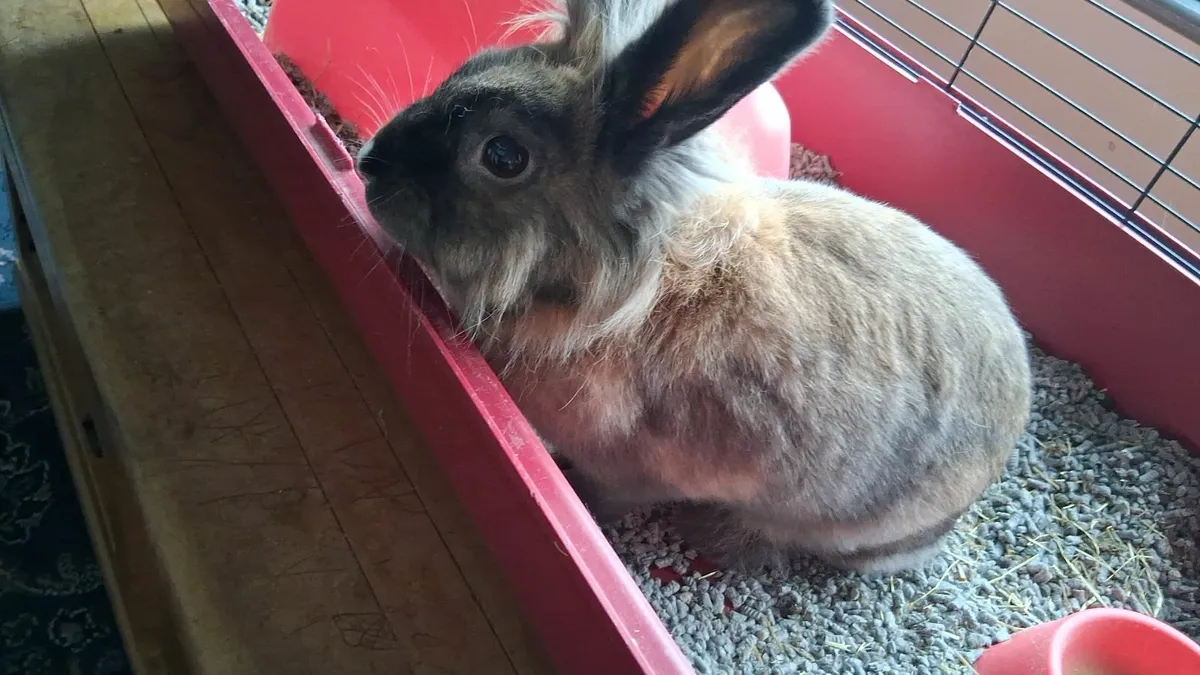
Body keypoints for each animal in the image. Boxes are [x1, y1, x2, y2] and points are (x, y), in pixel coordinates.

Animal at [355, 0, 1033, 575]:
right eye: (473, 66)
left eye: (502, 155)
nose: (369, 164)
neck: (609, 294)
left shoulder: (629, 471)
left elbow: (607, 494)